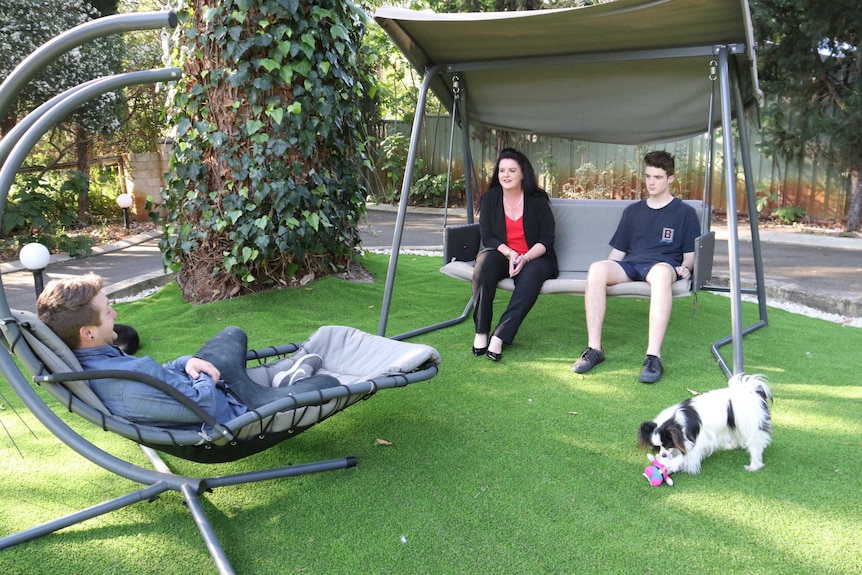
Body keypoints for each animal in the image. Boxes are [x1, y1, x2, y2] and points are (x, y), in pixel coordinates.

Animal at [636, 376, 772, 474]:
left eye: (668, 444)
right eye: (657, 447)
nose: (663, 455)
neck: (676, 422)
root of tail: (753, 391)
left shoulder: (695, 442)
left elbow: (685, 457)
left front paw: (670, 466)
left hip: (752, 427)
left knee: (755, 446)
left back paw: (754, 466)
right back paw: (732, 446)